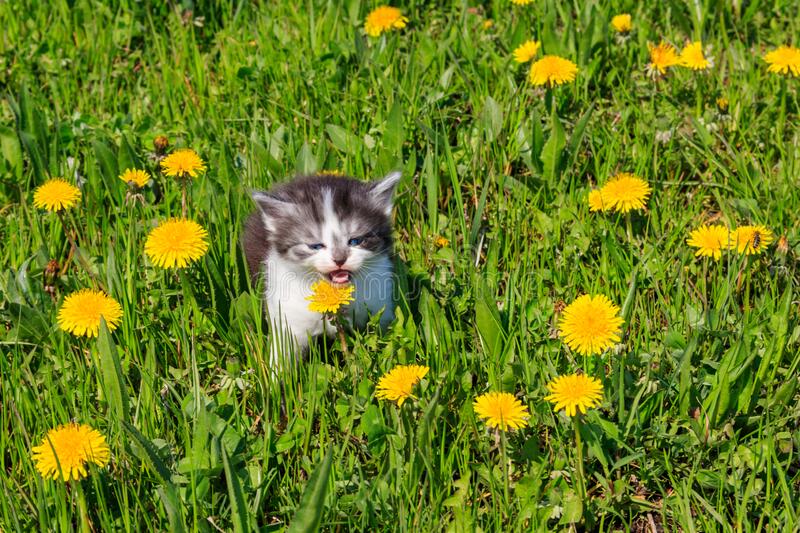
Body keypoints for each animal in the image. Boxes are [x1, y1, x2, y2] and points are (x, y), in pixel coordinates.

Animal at [239, 172, 398, 364]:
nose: (339, 259)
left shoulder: (379, 304)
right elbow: (283, 354)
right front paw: (275, 373)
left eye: (355, 241)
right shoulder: (288, 317)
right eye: (316, 246)